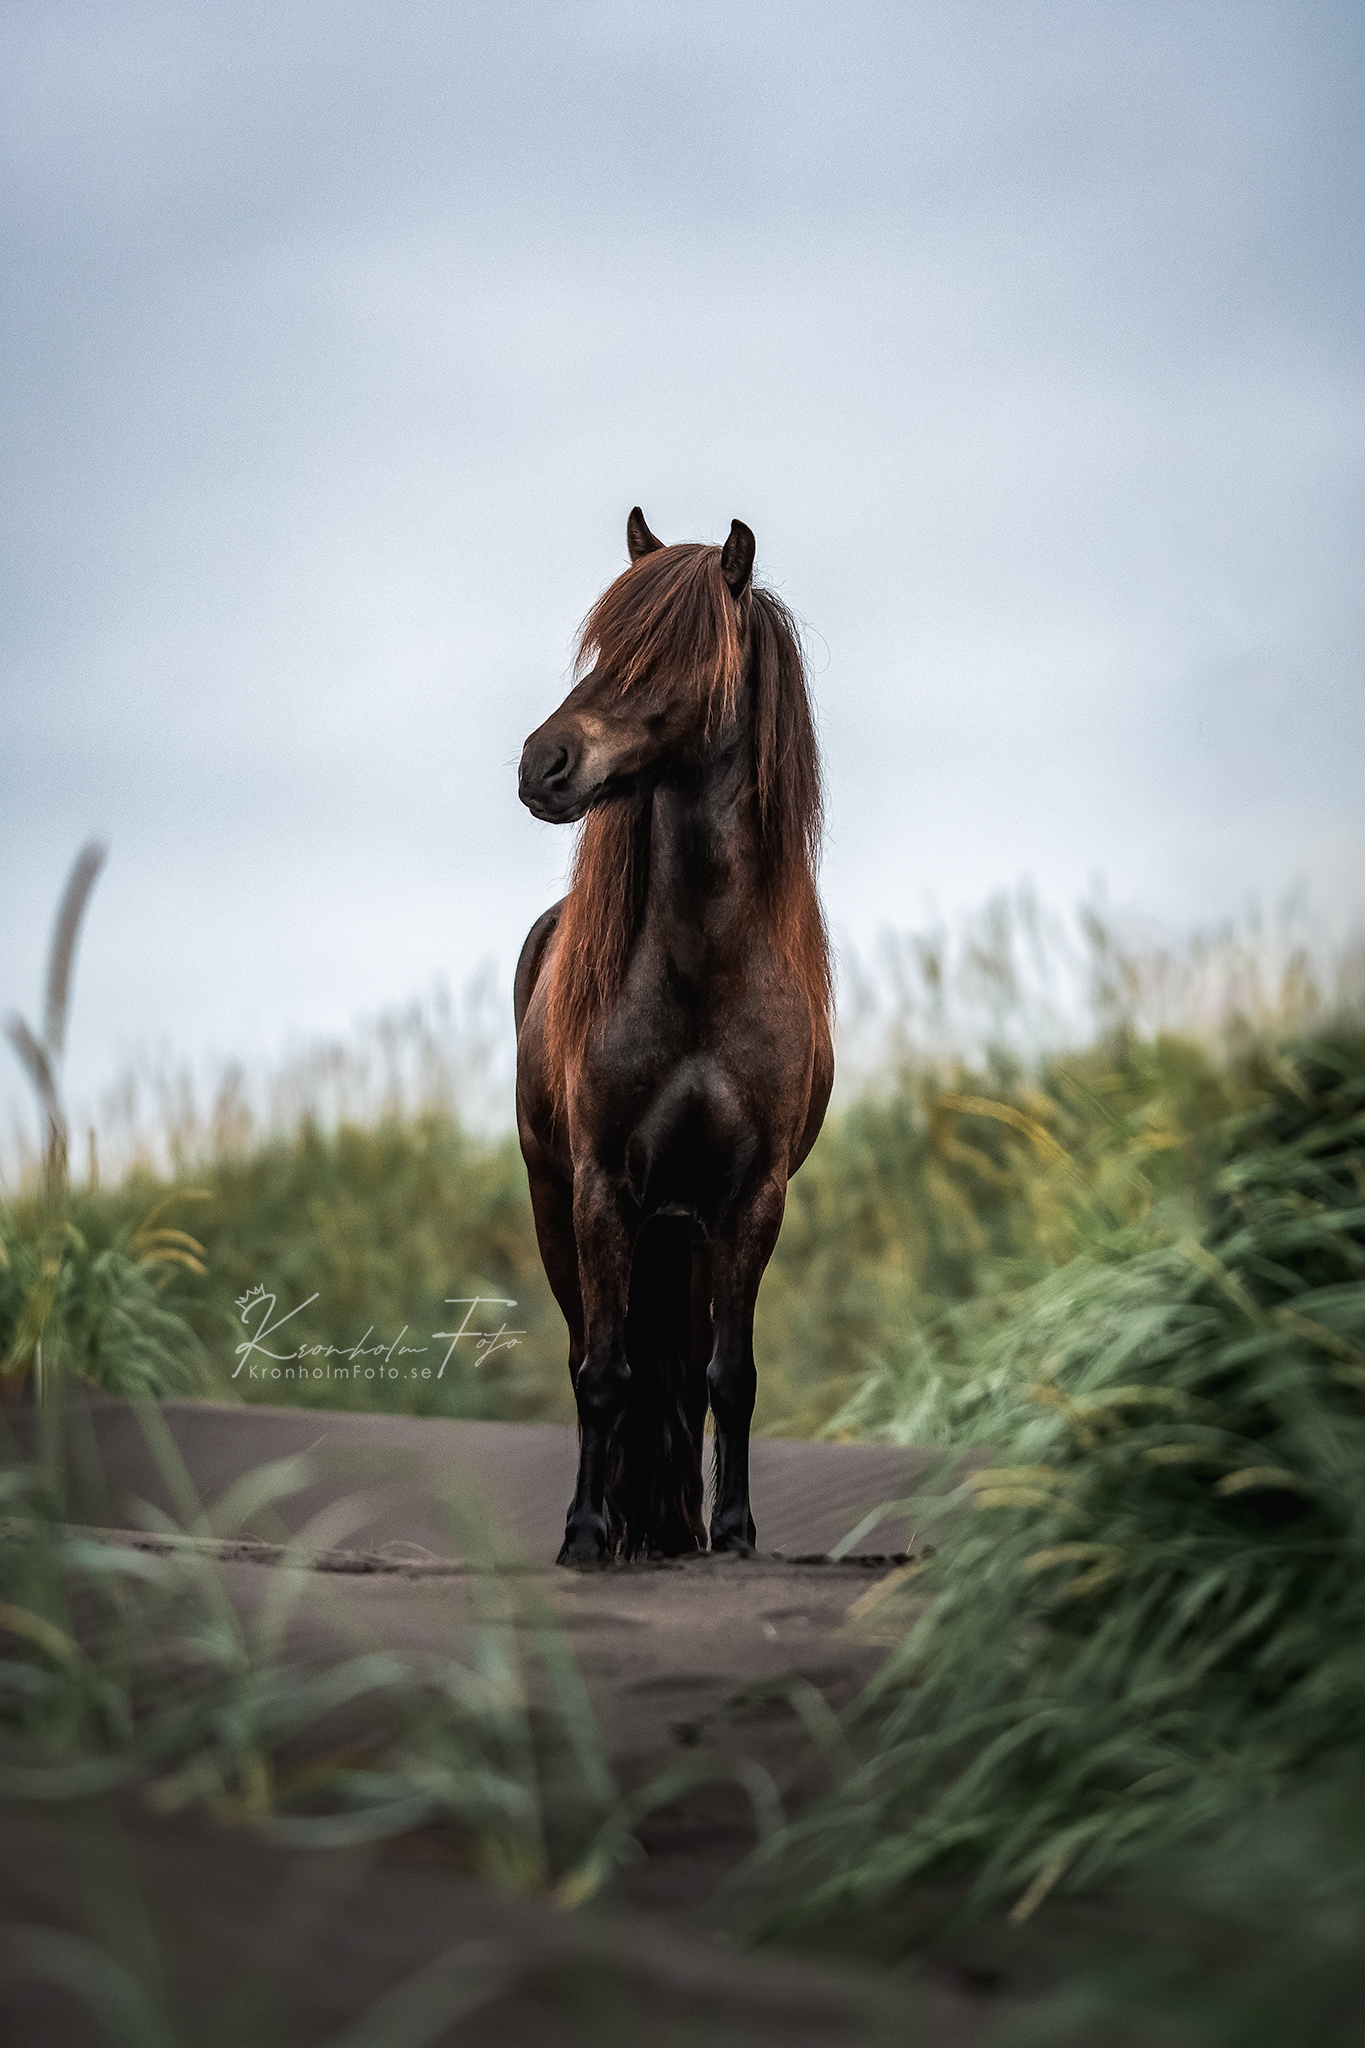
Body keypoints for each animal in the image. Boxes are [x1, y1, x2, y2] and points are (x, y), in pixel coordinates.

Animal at [511, 512, 834, 1564]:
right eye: (604, 645)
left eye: (680, 655)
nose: (542, 766)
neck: (704, 969)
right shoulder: (601, 1185)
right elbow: (602, 1373)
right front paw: (584, 1535)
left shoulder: (750, 1196)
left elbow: (727, 1377)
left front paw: (732, 1532)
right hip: (558, 1202)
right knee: (595, 1351)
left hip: (685, 1228)